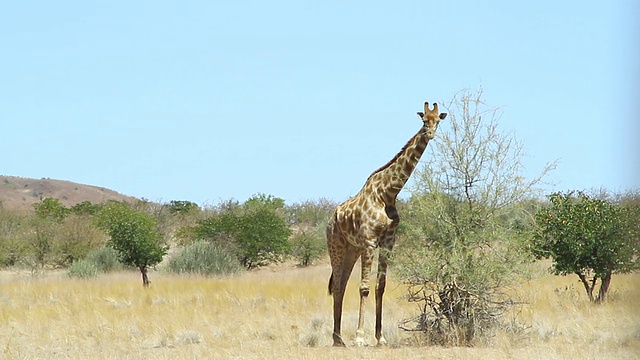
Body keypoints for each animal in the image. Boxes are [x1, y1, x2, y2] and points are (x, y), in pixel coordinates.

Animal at [324, 100, 444, 346]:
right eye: (423, 120)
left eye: (438, 120)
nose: (430, 133)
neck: (387, 193)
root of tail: (331, 220)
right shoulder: (370, 241)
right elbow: (364, 288)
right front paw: (360, 338)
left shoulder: (388, 242)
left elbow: (380, 287)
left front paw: (380, 338)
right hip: (336, 246)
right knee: (338, 286)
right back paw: (338, 339)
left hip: (352, 249)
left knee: (341, 285)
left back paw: (339, 338)